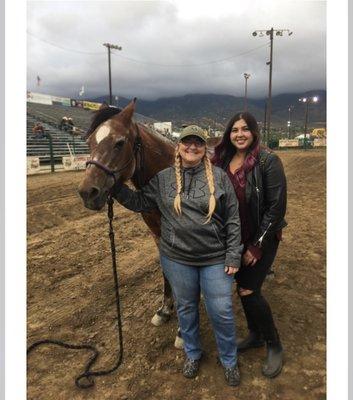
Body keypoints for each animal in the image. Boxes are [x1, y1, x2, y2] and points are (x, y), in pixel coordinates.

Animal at [77, 98, 182, 342]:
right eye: (89, 142)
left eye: (119, 143)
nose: (88, 193)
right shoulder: (157, 235)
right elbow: (167, 271)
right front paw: (165, 310)